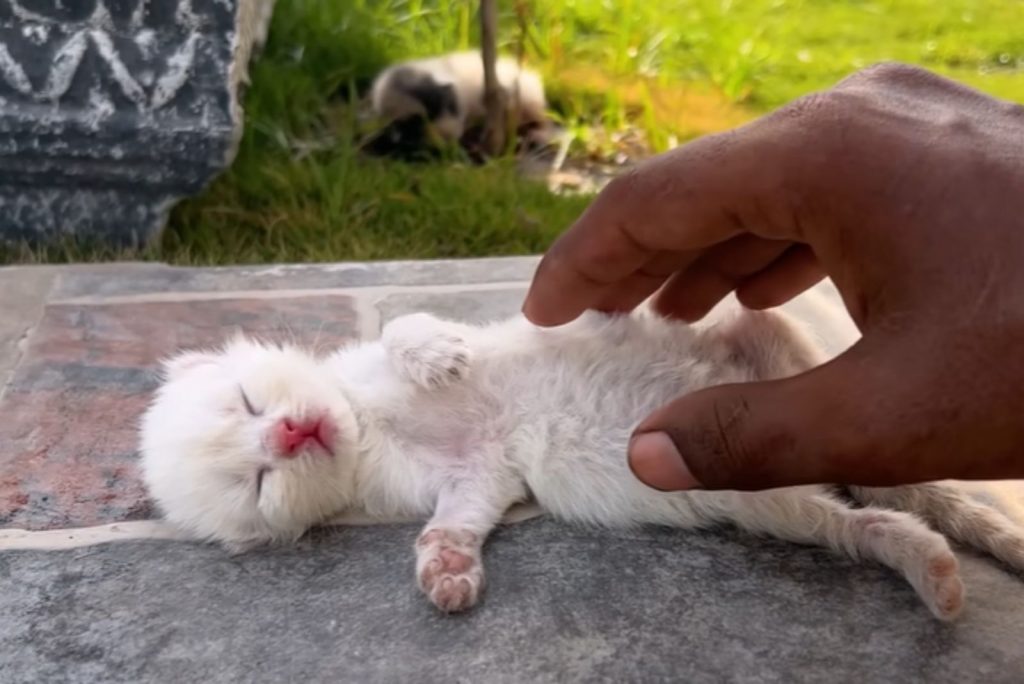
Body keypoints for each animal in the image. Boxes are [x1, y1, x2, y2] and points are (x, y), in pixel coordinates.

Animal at [138, 305, 1024, 618]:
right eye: (258, 484)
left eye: (247, 403)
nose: (291, 435)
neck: (369, 426)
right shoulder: (475, 476)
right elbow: (457, 519)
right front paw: (446, 569)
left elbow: (400, 325)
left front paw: (435, 352)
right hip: (772, 499)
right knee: (872, 521)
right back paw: (932, 571)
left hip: (772, 339)